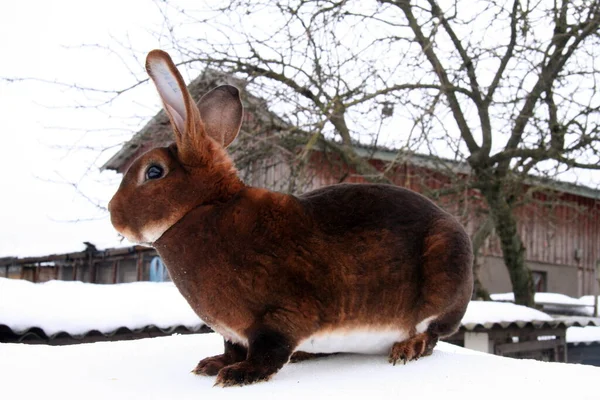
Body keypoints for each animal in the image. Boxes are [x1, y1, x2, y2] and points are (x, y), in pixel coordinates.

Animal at [108, 50, 474, 388]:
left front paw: (239, 375)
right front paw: (213, 364)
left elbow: (269, 349)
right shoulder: (232, 332)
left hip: (443, 270)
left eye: (154, 172)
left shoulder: (277, 316)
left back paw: (406, 349)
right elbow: (231, 348)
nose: (113, 215)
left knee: (431, 333)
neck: (205, 208)